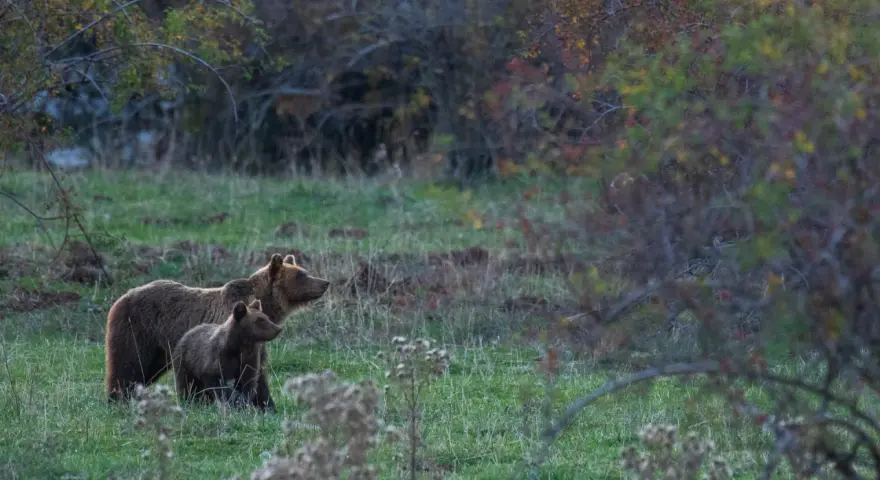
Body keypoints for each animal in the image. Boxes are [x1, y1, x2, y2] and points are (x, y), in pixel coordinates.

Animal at [104, 253, 329, 411]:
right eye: (301, 275)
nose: (325, 282)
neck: (267, 306)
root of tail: (123, 296)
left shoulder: (255, 343)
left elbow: (258, 372)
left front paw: (267, 405)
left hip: (160, 349)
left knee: (146, 371)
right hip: (137, 329)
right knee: (128, 363)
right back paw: (117, 397)